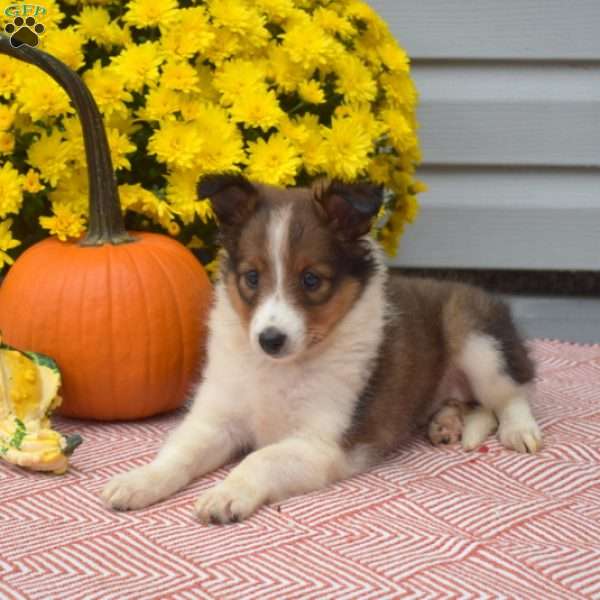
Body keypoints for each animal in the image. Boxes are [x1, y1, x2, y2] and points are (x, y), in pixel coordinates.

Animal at [103, 176, 544, 524]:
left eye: (311, 280)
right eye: (251, 277)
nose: (270, 339)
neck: (280, 369)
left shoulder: (321, 443)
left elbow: (260, 458)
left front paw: (226, 494)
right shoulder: (217, 420)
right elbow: (179, 453)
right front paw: (138, 481)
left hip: (477, 338)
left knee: (511, 395)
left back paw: (519, 431)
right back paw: (445, 423)